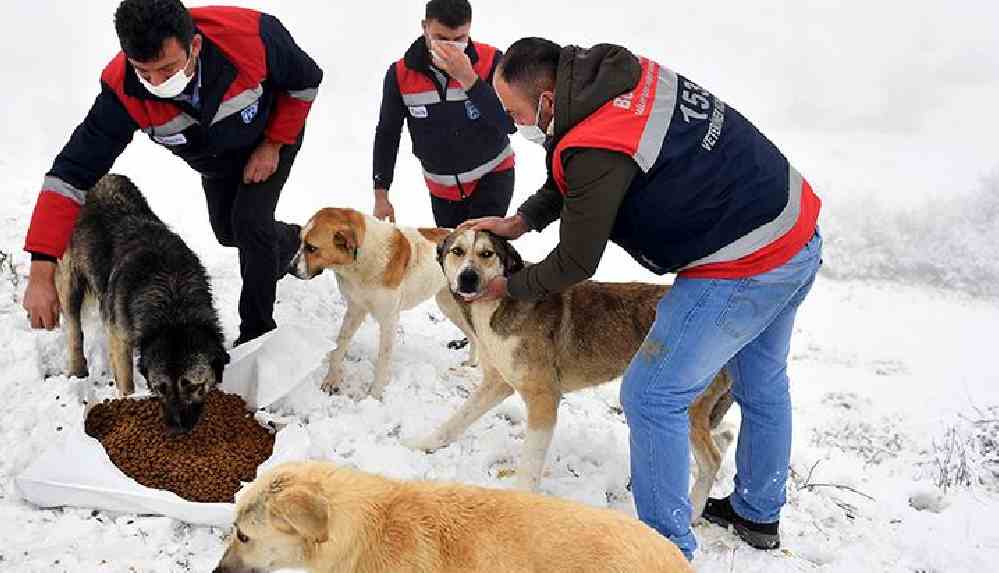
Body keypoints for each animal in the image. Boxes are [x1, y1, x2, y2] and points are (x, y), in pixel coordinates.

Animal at [290, 208, 476, 400]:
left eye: (311, 248)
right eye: (301, 242)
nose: (290, 268)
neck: (363, 259)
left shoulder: (389, 320)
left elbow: (382, 361)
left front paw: (374, 395)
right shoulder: (355, 309)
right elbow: (340, 345)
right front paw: (331, 380)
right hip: (448, 305)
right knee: (473, 336)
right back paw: (470, 363)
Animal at [404, 229, 736, 520]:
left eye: (487, 254)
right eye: (457, 251)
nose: (468, 277)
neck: (499, 304)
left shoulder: (544, 398)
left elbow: (529, 462)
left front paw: (521, 499)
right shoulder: (497, 384)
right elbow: (458, 419)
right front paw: (424, 443)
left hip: (684, 403)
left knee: (713, 458)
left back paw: (693, 511)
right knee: (723, 439)